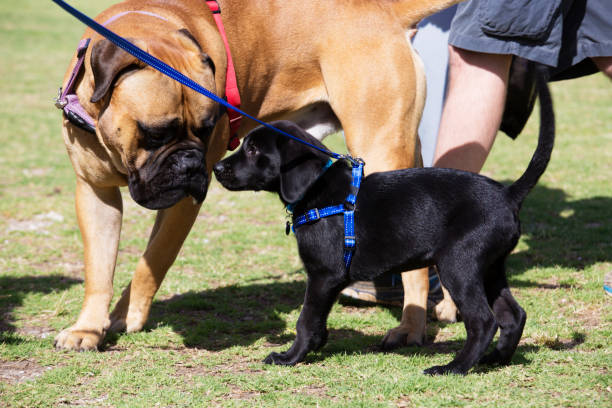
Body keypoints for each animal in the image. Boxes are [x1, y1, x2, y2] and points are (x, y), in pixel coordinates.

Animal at [55, 0, 460, 350]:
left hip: (381, 146)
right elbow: (99, 269)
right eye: (155, 133)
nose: (191, 163)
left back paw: (411, 326)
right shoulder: (95, 193)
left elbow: (152, 261)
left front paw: (129, 316)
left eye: (207, 129)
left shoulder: (183, 204)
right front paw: (88, 328)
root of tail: (385, 10)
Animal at [215, 75, 556, 374]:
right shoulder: (330, 279)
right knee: (513, 315)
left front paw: (290, 356)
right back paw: (495, 360)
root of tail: (508, 194)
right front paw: (312, 347)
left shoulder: (324, 274)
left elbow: (306, 320)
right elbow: (317, 322)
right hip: (490, 267)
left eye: (253, 150)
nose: (217, 168)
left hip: (459, 265)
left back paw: (454, 367)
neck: (318, 190)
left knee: (484, 321)